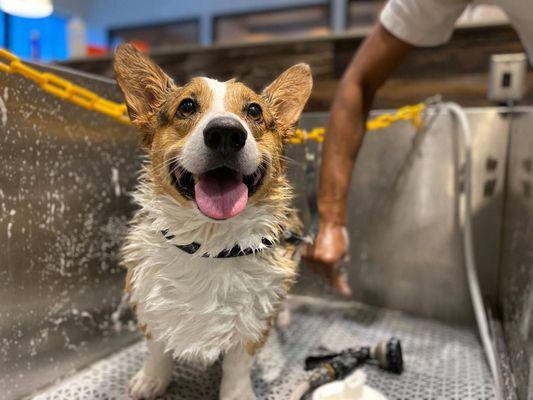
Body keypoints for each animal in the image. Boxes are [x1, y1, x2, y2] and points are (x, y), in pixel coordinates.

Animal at [112, 43, 312, 400]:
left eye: (254, 111)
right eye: (187, 106)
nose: (225, 133)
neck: (211, 245)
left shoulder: (252, 324)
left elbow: (236, 367)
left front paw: (237, 394)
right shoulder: (151, 305)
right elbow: (158, 350)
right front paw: (151, 381)